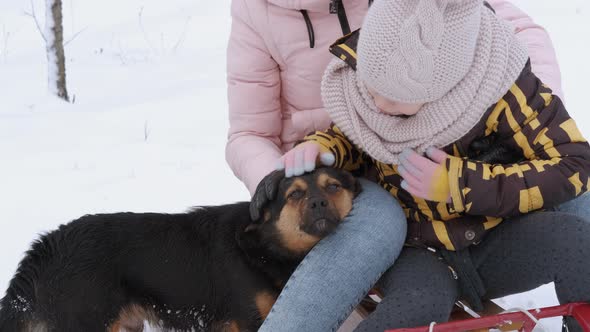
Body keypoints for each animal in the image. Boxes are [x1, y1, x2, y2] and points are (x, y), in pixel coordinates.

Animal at [0, 169, 364, 332]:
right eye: (295, 194)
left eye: (333, 186)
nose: (318, 203)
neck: (264, 246)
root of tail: (45, 247)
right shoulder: (250, 321)